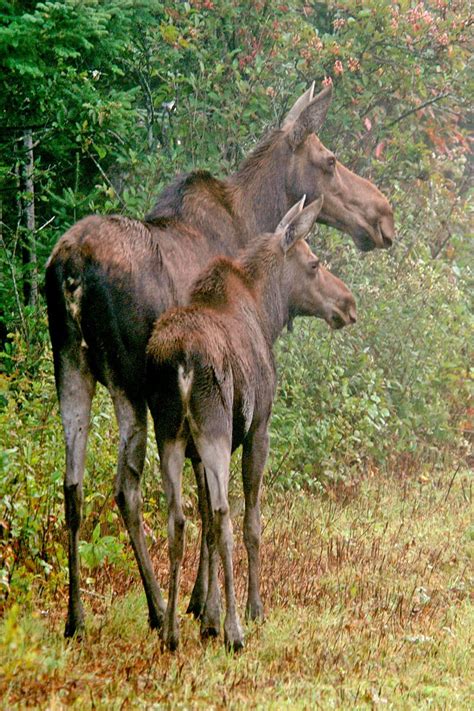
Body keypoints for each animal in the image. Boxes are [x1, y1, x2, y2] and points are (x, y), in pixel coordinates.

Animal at [146, 195, 358, 652]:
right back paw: (235, 630)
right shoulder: (258, 429)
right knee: (225, 515)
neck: (268, 314)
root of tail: (183, 360)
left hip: (168, 434)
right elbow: (251, 524)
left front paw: (204, 613)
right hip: (215, 428)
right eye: (313, 263)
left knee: (179, 519)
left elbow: (204, 525)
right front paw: (250, 609)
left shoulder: (193, 452)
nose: (348, 304)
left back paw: (171, 632)